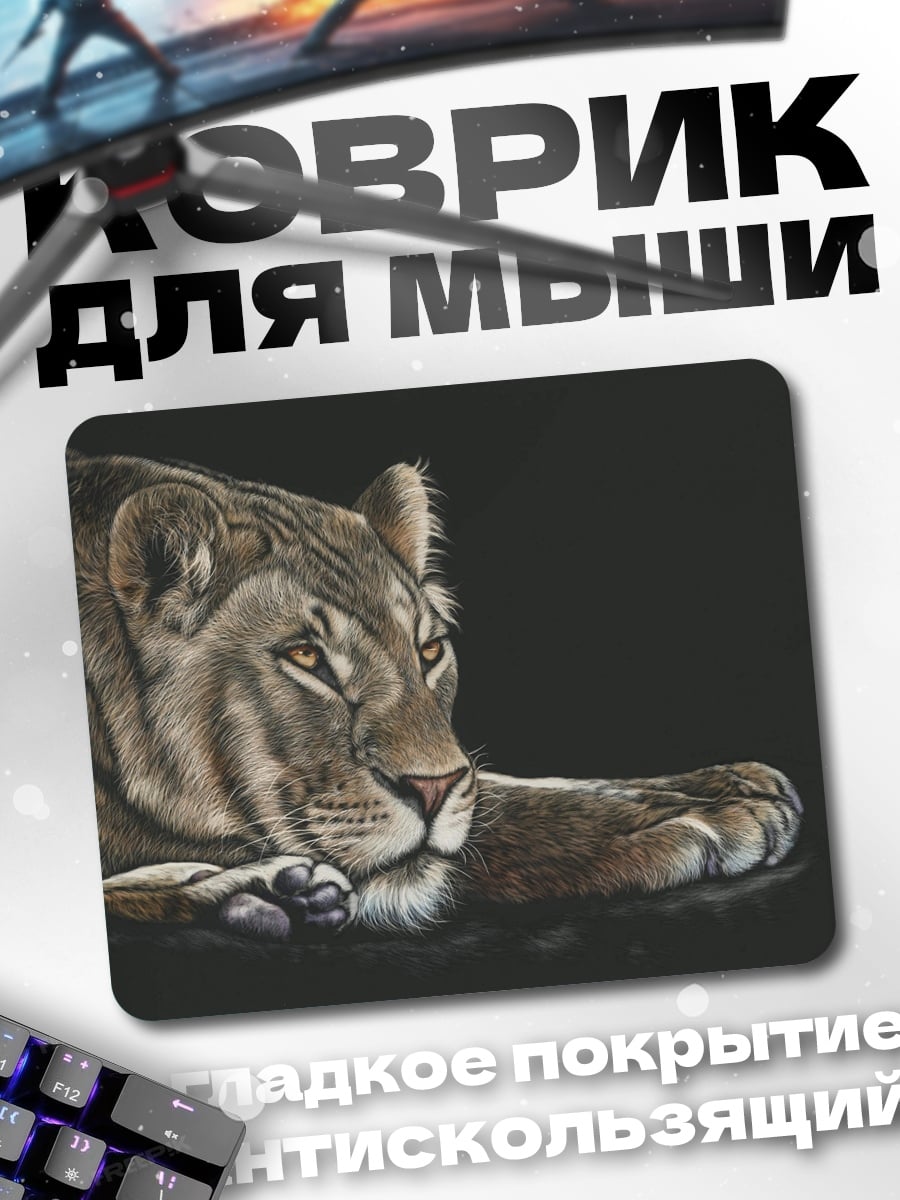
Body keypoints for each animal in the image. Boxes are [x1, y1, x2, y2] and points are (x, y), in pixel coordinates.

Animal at [66, 450, 802, 942]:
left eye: (428, 651)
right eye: (307, 658)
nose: (434, 789)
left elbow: (513, 794)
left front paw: (729, 786)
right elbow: (501, 824)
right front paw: (714, 817)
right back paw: (267, 893)